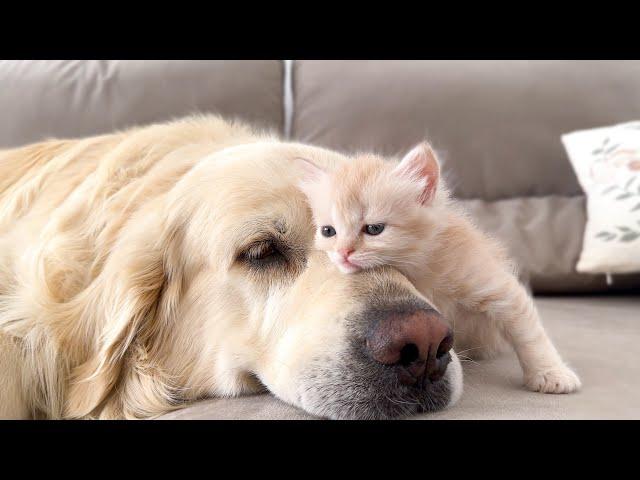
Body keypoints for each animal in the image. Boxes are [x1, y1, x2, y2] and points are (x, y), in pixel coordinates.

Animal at [298, 145, 584, 394]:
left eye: (374, 229)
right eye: (328, 231)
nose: (343, 253)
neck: (419, 267)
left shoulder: (495, 285)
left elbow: (528, 332)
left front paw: (551, 374)